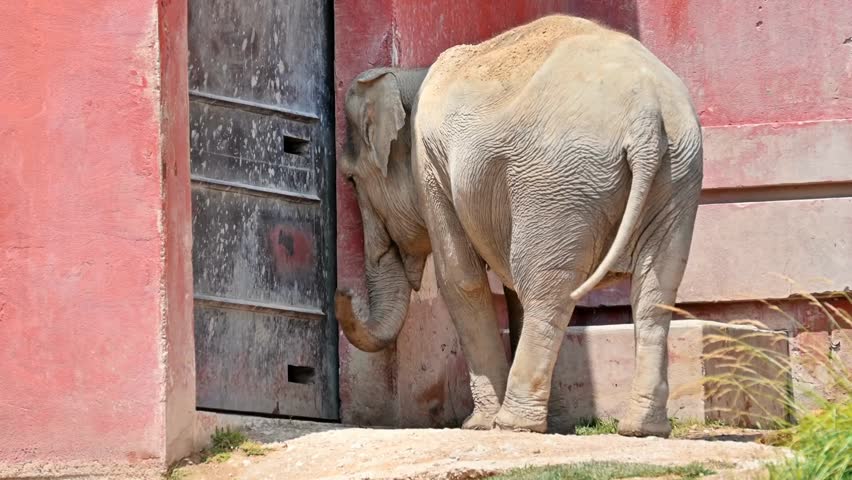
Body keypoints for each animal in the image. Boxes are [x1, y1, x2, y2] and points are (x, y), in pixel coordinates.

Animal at [335, 14, 703, 437]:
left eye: (350, 179)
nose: (343, 291)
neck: (412, 75)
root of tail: (645, 116)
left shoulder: (430, 166)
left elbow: (460, 279)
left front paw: (477, 425)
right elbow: (507, 284)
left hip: (560, 180)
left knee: (546, 286)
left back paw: (513, 423)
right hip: (677, 173)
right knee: (654, 288)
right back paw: (641, 429)